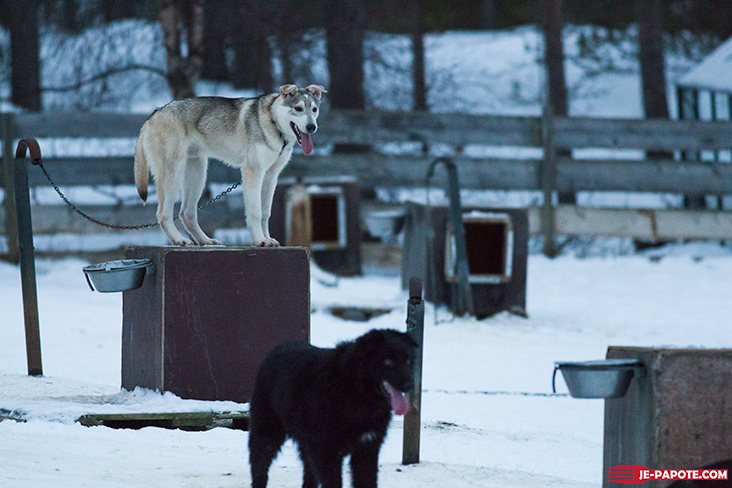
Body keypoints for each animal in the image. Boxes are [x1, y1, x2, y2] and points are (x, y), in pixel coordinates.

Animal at [134, 83, 324, 248]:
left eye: (314, 109)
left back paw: (206, 241)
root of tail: (153, 115)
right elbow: (255, 212)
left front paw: (268, 238)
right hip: (173, 175)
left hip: (198, 175)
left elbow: (265, 213)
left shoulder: (270, 176)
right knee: (163, 214)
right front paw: (260, 240)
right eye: (298, 108)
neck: (273, 121)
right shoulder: (253, 172)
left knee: (186, 214)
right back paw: (180, 240)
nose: (312, 127)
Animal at [249, 330, 414, 488]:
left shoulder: (367, 449)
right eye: (388, 361)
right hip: (267, 433)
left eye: (407, 361)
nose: (410, 385)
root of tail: (275, 350)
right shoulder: (327, 453)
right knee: (259, 469)